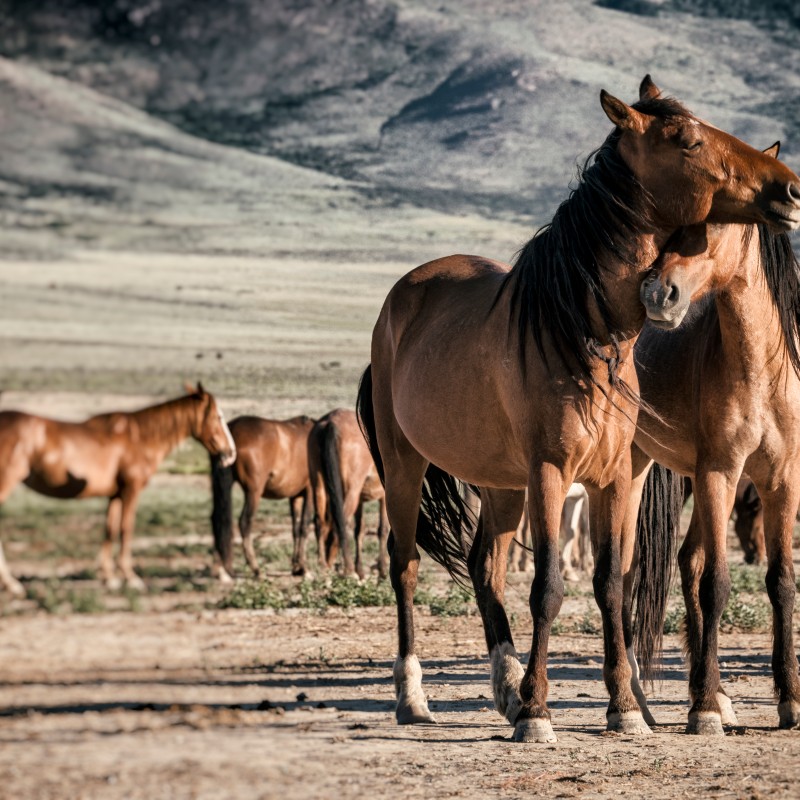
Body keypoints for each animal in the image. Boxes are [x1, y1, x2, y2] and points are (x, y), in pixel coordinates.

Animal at [0, 383, 236, 594]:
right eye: (218, 417)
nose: (230, 453)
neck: (141, 438)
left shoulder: (115, 494)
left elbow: (110, 529)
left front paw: (108, 578)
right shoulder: (131, 490)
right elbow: (126, 528)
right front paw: (130, 577)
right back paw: (11, 584)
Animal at [209, 415, 315, 580]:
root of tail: (232, 428)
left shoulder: (295, 496)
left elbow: (296, 528)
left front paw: (296, 567)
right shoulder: (309, 492)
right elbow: (304, 527)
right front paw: (304, 568)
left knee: (218, 519)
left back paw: (220, 569)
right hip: (254, 492)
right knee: (244, 522)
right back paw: (256, 569)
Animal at [308, 408, 388, 580]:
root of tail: (330, 422)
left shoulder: (360, 501)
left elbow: (359, 530)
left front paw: (361, 570)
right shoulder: (383, 498)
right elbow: (382, 530)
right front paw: (382, 570)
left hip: (319, 485)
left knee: (320, 522)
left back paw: (323, 565)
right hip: (351, 491)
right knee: (340, 522)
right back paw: (347, 569)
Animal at [629, 203, 800, 734]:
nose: (656, 294)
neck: (762, 367)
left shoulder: (782, 482)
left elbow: (781, 582)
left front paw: (790, 700)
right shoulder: (718, 473)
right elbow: (716, 585)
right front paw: (703, 709)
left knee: (687, 560)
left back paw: (719, 693)